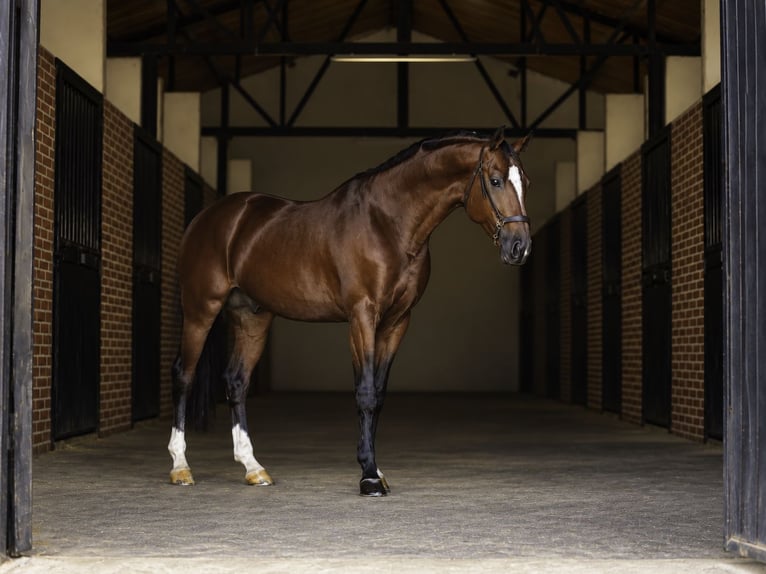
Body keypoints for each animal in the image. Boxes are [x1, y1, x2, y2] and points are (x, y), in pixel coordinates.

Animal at [168, 127, 532, 496]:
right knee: (184, 374)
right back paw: (180, 467)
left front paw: (376, 470)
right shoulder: (362, 316)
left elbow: (379, 394)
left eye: (525, 182)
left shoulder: (397, 321)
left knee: (236, 381)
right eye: (496, 180)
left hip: (253, 317)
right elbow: (366, 392)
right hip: (200, 308)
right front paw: (369, 476)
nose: (520, 247)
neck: (388, 224)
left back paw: (253, 468)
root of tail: (210, 217)